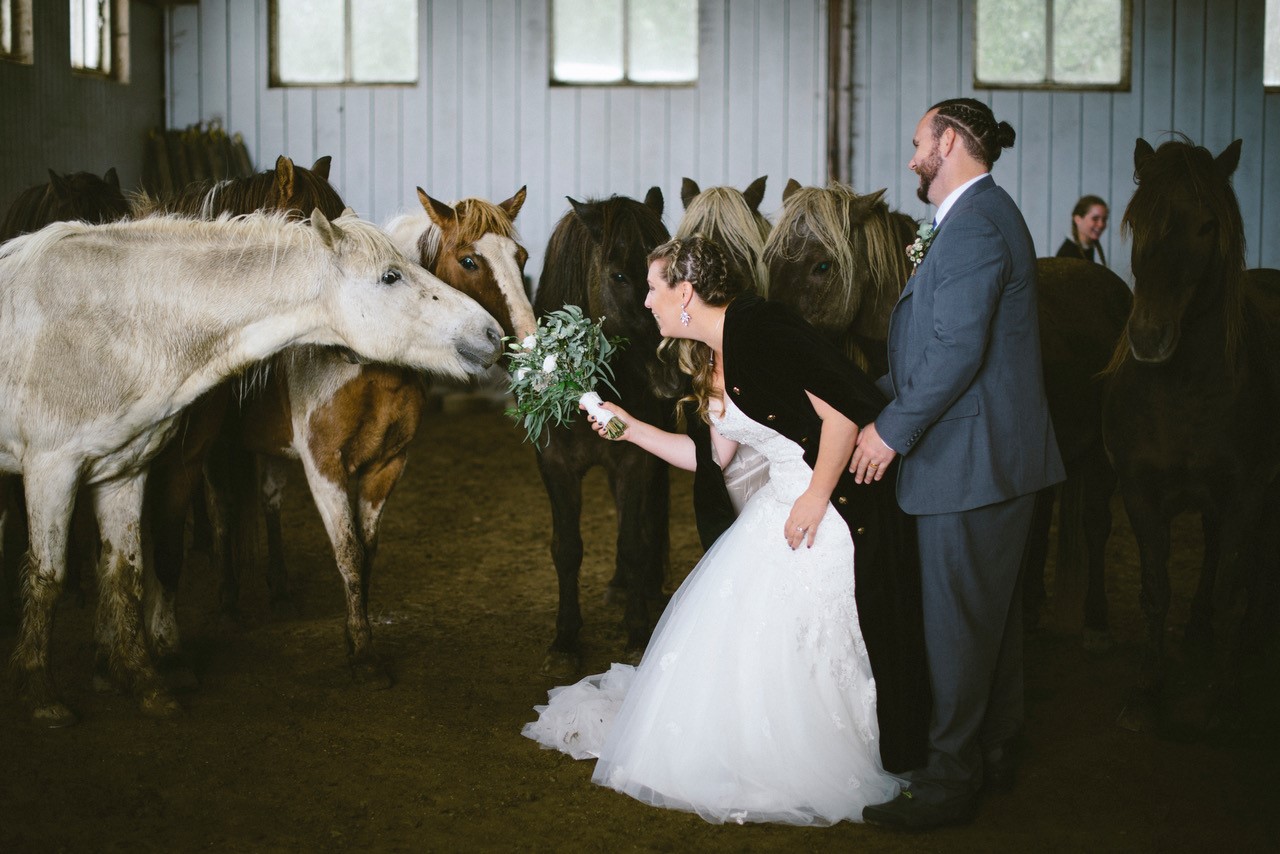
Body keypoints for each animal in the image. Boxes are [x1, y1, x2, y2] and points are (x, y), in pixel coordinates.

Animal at [0, 209, 499, 727]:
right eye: (390, 276)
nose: (490, 333)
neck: (113, 323)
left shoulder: (122, 472)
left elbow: (126, 574)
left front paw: (143, 684)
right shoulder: (52, 469)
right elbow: (48, 577)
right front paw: (41, 693)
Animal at [529, 190, 675, 676]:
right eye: (619, 275)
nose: (673, 372)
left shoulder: (635, 459)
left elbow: (632, 542)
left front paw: (637, 633)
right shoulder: (554, 465)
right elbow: (566, 549)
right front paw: (564, 640)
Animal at [1100, 136, 1280, 732]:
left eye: (1207, 225)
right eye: (1138, 222)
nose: (1149, 336)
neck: (1182, 391)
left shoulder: (1246, 490)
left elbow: (1230, 587)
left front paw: (1223, 696)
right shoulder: (1140, 493)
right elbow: (1157, 590)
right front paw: (1147, 688)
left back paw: (1251, 638)